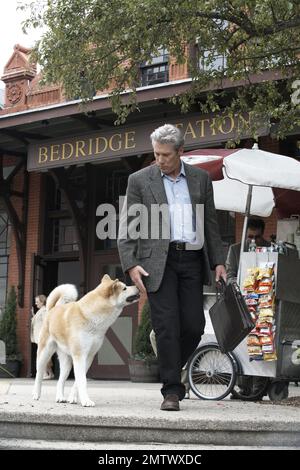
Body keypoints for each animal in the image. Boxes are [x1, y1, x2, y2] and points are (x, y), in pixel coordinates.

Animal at [32, 278, 139, 406]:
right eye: (124, 288)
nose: (137, 286)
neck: (91, 316)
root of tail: (52, 310)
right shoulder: (80, 356)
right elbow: (82, 381)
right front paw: (86, 401)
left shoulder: (88, 357)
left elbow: (78, 381)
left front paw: (73, 398)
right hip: (44, 354)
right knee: (38, 374)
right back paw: (36, 394)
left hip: (67, 362)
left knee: (60, 380)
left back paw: (60, 397)